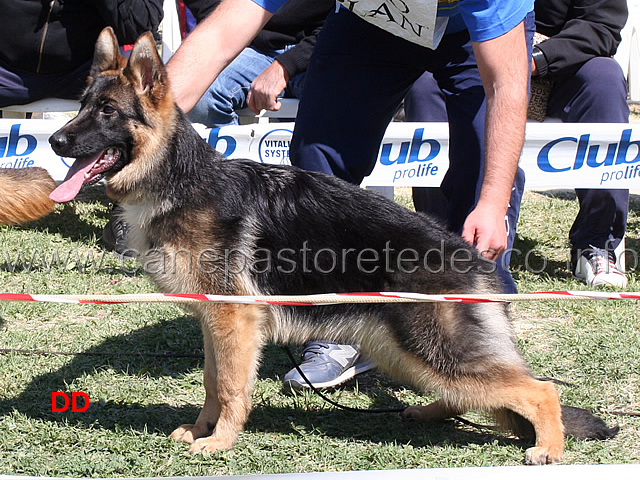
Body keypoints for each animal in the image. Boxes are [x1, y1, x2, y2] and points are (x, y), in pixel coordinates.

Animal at [47, 27, 616, 464]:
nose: (54, 141)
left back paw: (549, 449)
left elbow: (230, 387)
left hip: (431, 348)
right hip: (403, 351)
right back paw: (428, 413)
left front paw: (221, 442)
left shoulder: (235, 320)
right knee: (469, 395)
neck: (177, 179)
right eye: (81, 108)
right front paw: (201, 429)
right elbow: (212, 381)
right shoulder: (217, 321)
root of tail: (471, 256)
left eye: (107, 112)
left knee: (538, 389)